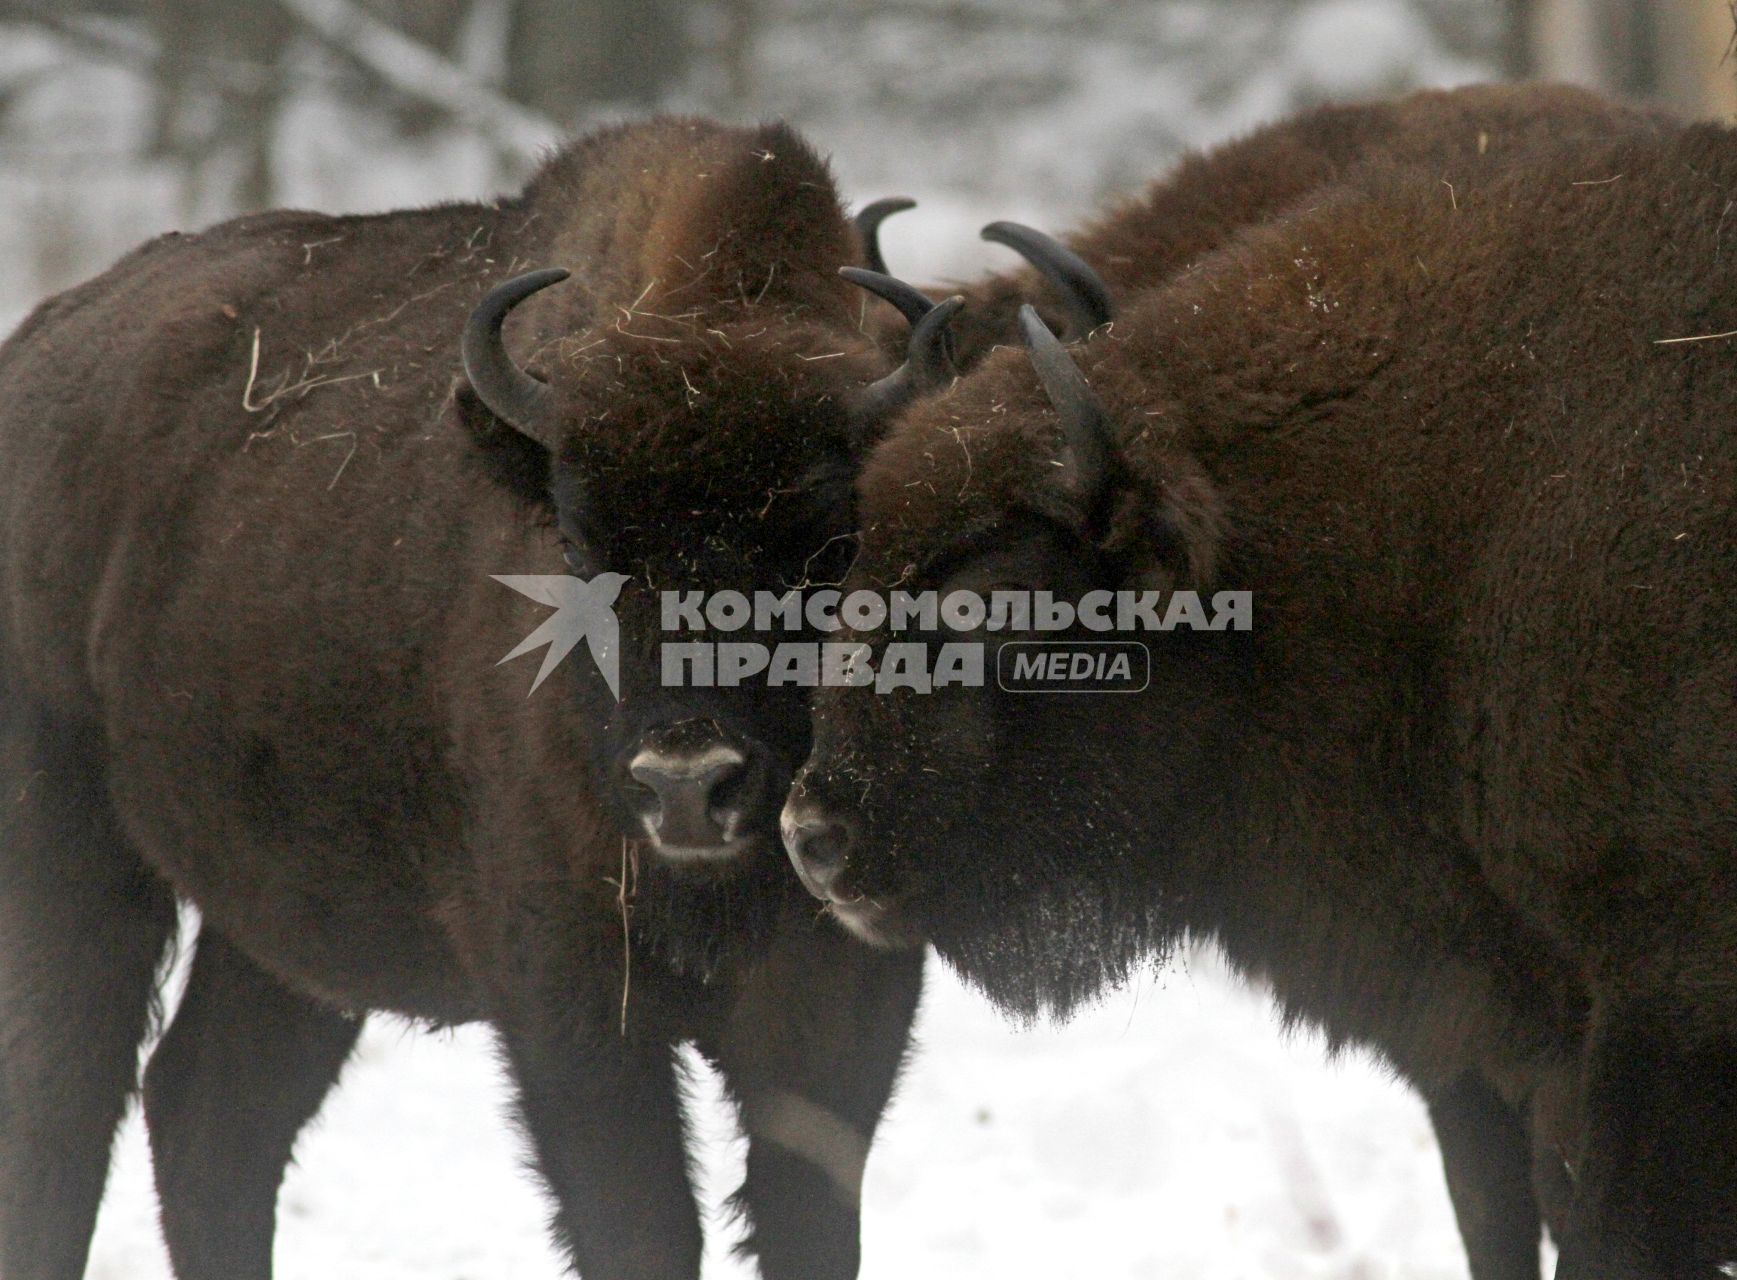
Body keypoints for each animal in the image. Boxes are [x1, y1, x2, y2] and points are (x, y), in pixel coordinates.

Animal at [0, 117, 965, 1278]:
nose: (689, 784)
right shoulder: (568, 1005)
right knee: (62, 1109)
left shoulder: (840, 992)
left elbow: (804, 1214)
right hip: (71, 857)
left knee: (211, 1118)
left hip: (283, 933)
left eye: (823, 543)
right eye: (583, 544)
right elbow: (644, 1226)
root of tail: (36, 351)